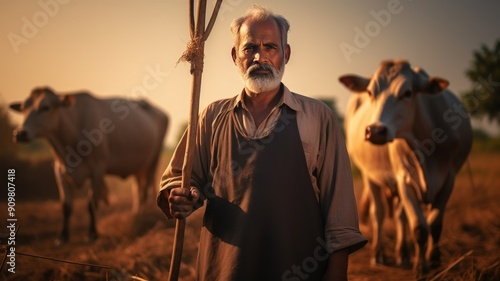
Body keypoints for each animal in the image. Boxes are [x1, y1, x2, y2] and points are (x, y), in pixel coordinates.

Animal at [9, 87, 169, 243]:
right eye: (23, 109)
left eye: (45, 107)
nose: (20, 133)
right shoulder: (60, 171)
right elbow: (66, 206)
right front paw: (63, 236)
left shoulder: (97, 170)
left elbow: (91, 204)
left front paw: (92, 234)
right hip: (138, 167)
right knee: (137, 190)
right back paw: (135, 216)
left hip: (152, 162)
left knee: (145, 190)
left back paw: (140, 218)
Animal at [340, 59, 472, 276]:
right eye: (370, 92)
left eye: (408, 93)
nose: (375, 130)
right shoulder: (404, 180)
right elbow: (419, 227)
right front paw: (420, 268)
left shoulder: (448, 180)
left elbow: (435, 225)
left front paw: (434, 260)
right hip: (370, 176)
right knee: (379, 214)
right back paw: (379, 254)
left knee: (400, 216)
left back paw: (403, 254)